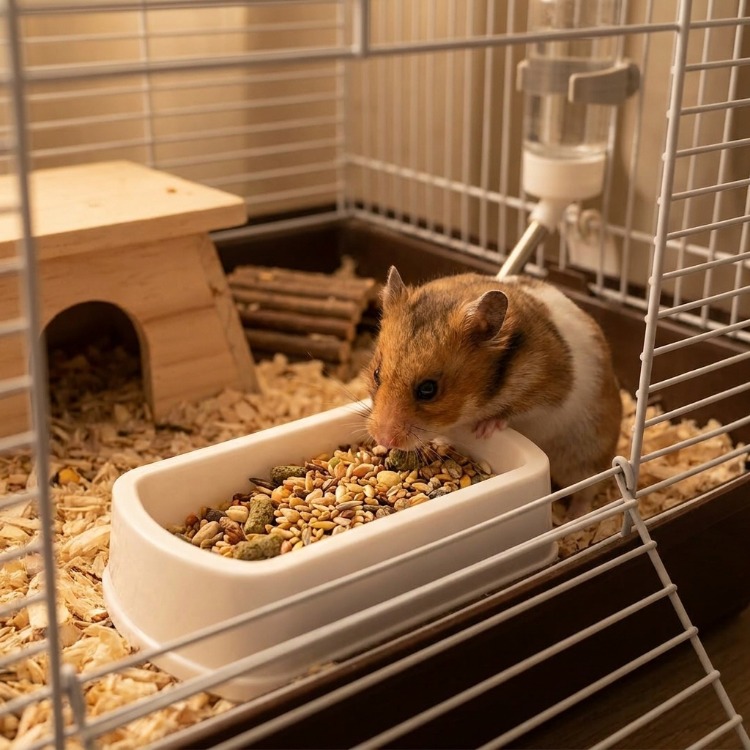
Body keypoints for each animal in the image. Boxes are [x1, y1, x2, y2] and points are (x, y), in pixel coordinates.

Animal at [365, 266, 622, 518]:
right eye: (376, 374)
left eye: (428, 390)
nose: (383, 439)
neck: (485, 397)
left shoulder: (549, 394)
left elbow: (514, 412)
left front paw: (484, 429)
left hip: (587, 454)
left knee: (588, 488)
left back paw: (573, 517)